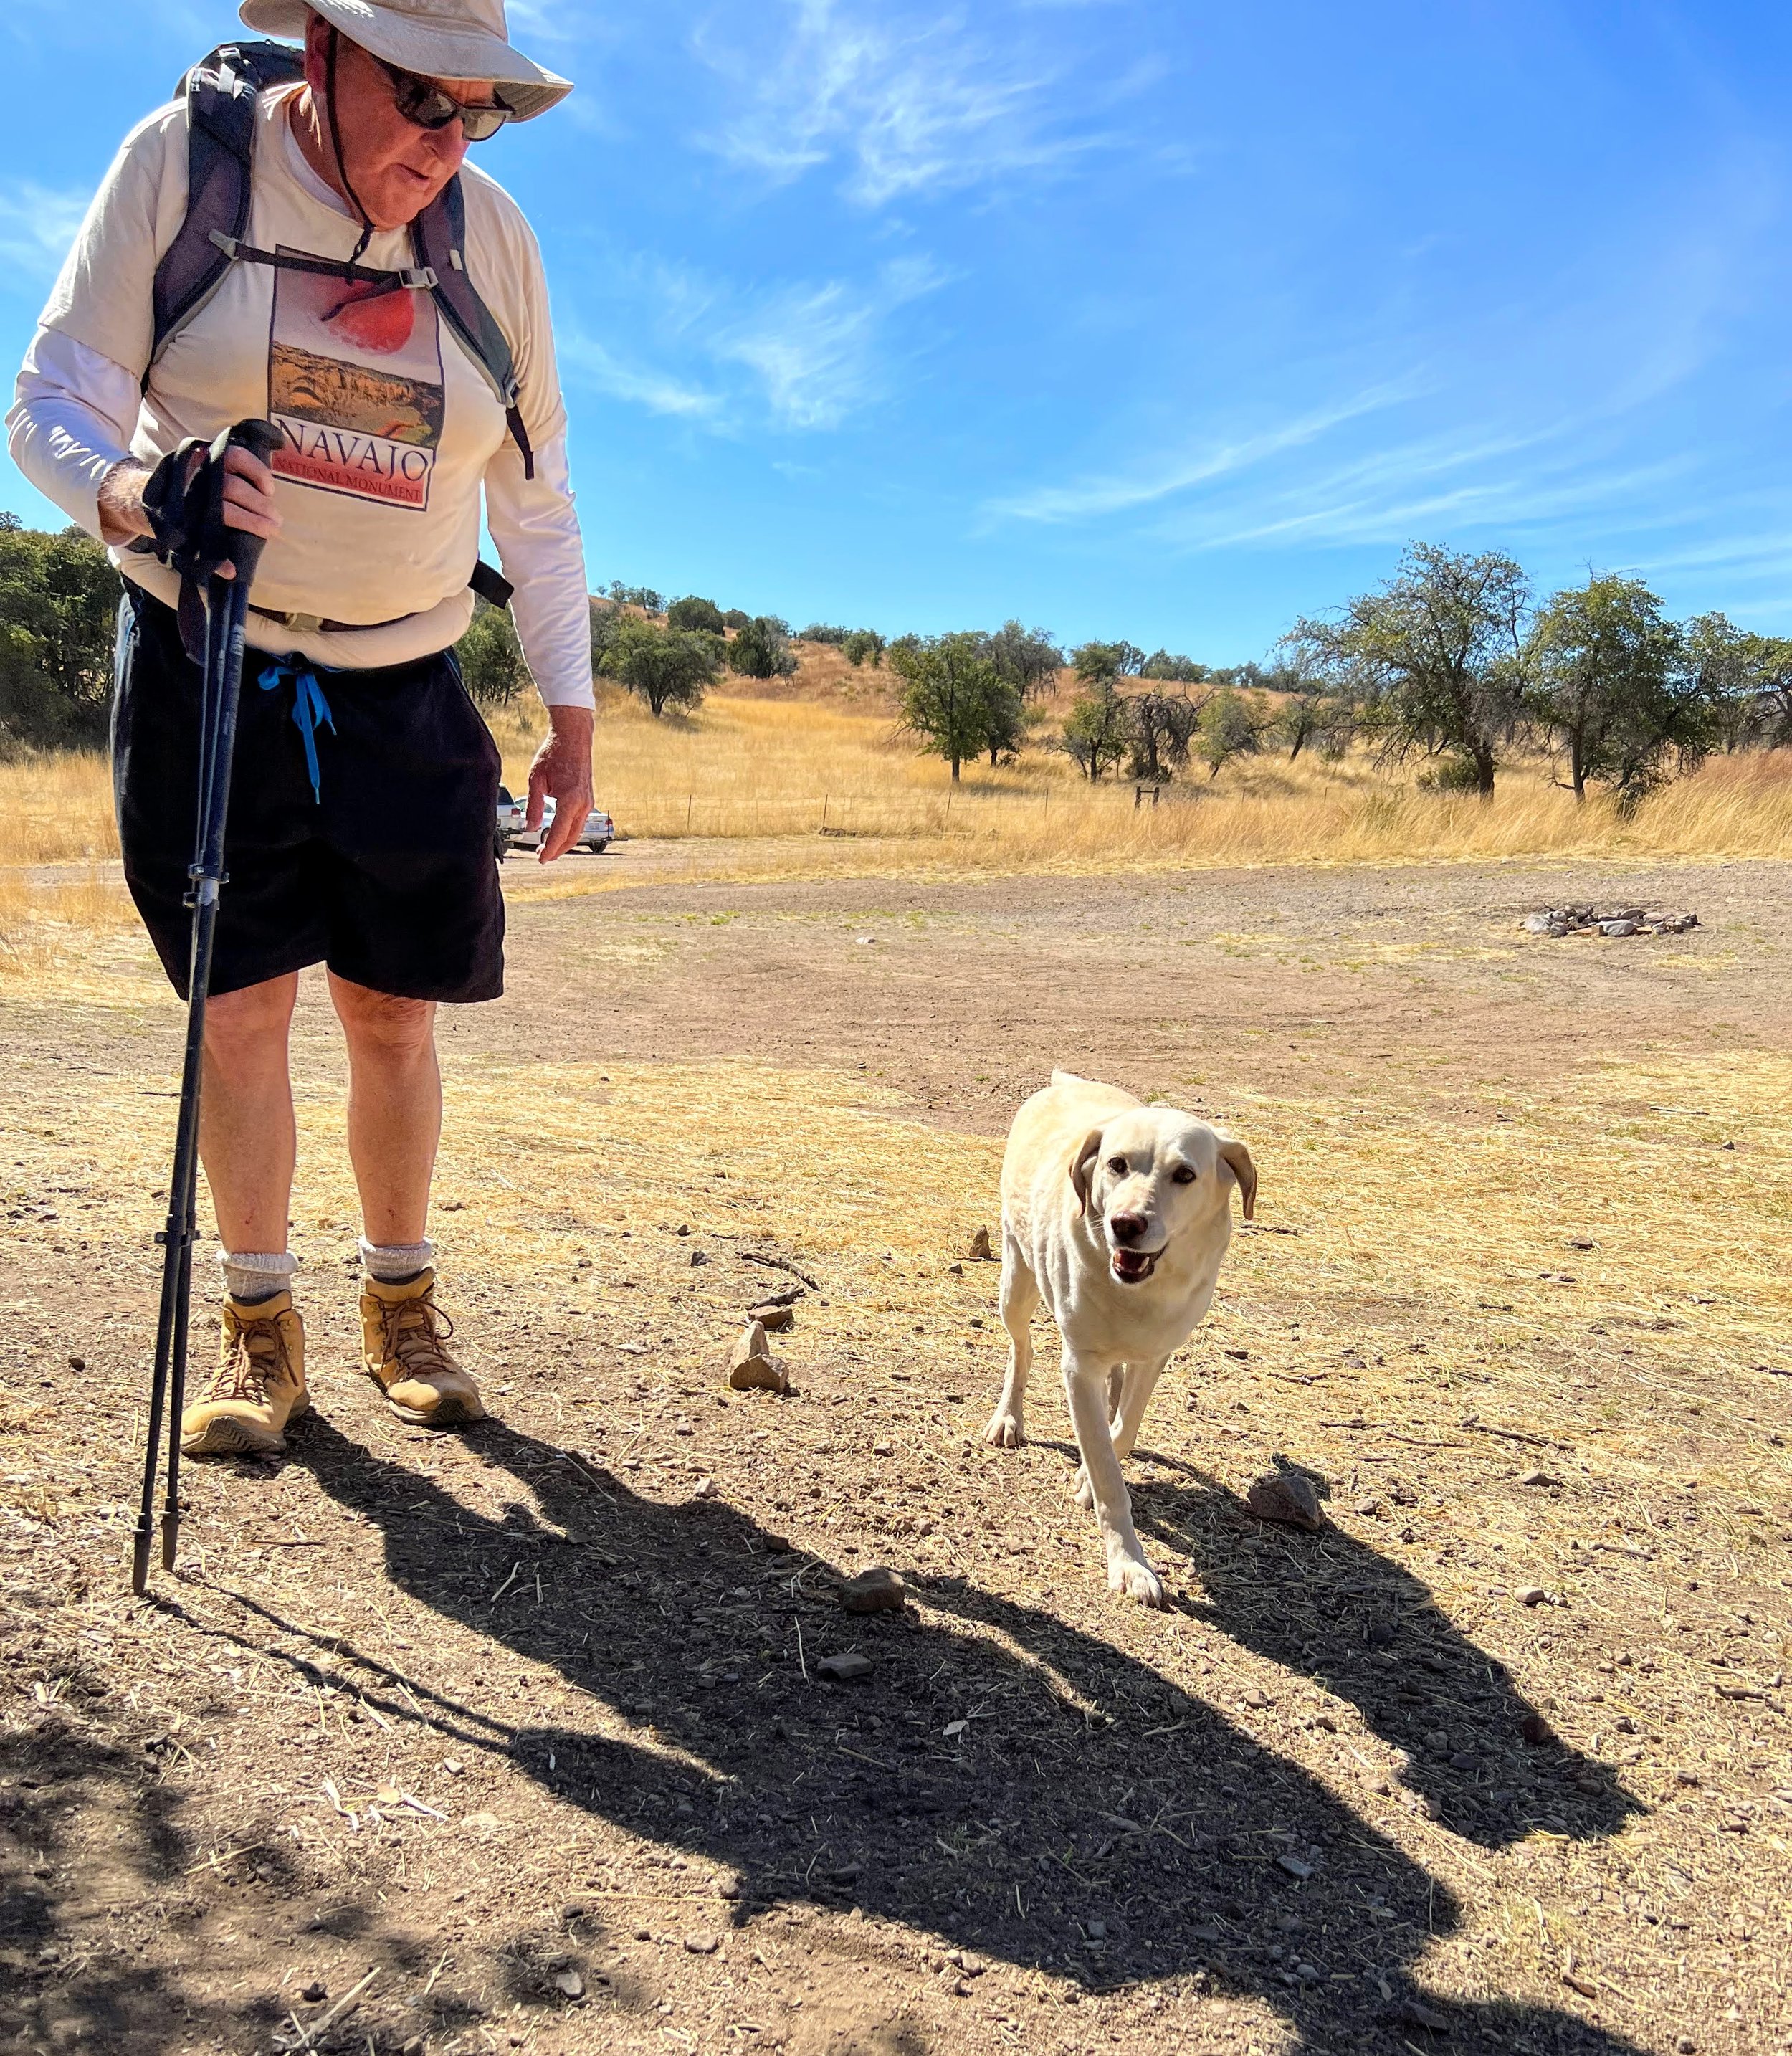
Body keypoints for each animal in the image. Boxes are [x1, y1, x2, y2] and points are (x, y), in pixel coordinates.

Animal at [978, 1077, 1257, 1604]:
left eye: (1185, 1175)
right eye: (1117, 1164)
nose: (1126, 1224)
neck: (1139, 1292)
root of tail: (1064, 1080)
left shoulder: (1155, 1355)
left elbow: (1123, 1431)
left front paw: (1093, 1469)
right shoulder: (1080, 1365)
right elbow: (1109, 1476)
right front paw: (1129, 1564)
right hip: (1015, 1282)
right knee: (1022, 1349)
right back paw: (1008, 1418)